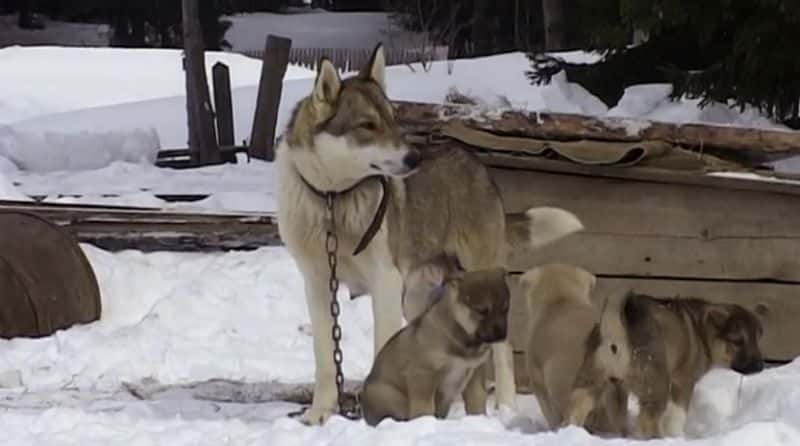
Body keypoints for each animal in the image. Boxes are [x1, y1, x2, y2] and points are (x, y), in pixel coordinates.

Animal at [360, 266, 510, 426]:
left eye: (505, 308)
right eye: (482, 311)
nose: (501, 333)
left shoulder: (475, 373)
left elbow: (476, 401)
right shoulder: (423, 374)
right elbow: (424, 408)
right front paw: (425, 422)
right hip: (387, 394)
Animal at [572, 292, 764, 440]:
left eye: (757, 338)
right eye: (737, 342)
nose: (760, 367)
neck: (702, 330)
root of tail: (618, 329)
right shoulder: (683, 382)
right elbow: (677, 416)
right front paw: (676, 437)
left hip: (591, 380)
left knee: (576, 411)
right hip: (655, 385)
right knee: (647, 422)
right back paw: (657, 439)